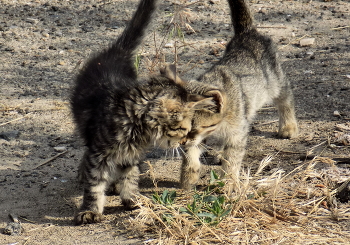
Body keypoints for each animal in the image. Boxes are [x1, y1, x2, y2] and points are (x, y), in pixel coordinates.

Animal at [69, 0, 215, 224]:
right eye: (183, 129)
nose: (184, 142)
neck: (136, 128)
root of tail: (117, 53)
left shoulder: (130, 155)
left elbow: (129, 177)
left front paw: (131, 199)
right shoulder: (100, 153)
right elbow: (94, 185)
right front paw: (90, 210)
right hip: (86, 129)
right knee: (87, 150)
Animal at [173, 0, 298, 189]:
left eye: (192, 127)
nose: (180, 142)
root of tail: (247, 33)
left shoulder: (238, 132)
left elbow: (232, 158)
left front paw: (229, 181)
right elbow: (191, 152)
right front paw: (188, 175)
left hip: (275, 81)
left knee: (286, 97)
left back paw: (288, 126)